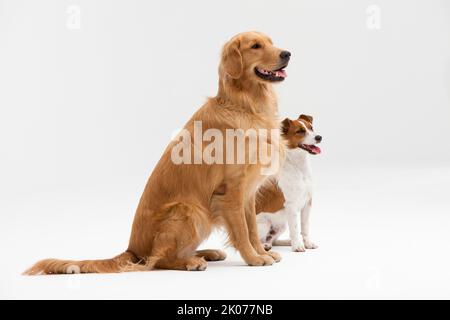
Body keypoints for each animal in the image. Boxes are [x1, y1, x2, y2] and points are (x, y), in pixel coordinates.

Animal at [25, 31, 292, 274]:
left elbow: (252, 228)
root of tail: (132, 249)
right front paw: (253, 258)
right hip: (189, 209)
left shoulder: (248, 192)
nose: (287, 53)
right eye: (255, 46)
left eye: (271, 41)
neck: (246, 104)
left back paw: (206, 253)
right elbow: (242, 231)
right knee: (158, 260)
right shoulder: (232, 190)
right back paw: (191, 262)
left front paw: (261, 252)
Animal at [256, 115, 320, 252]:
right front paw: (297, 246)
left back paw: (283, 242)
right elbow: (295, 228)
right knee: (255, 241)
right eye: (300, 131)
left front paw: (307, 243)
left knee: (272, 240)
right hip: (264, 224)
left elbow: (305, 227)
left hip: (281, 225)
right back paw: (264, 246)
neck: (299, 167)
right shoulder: (291, 205)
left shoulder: (307, 203)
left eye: (311, 128)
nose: (319, 137)